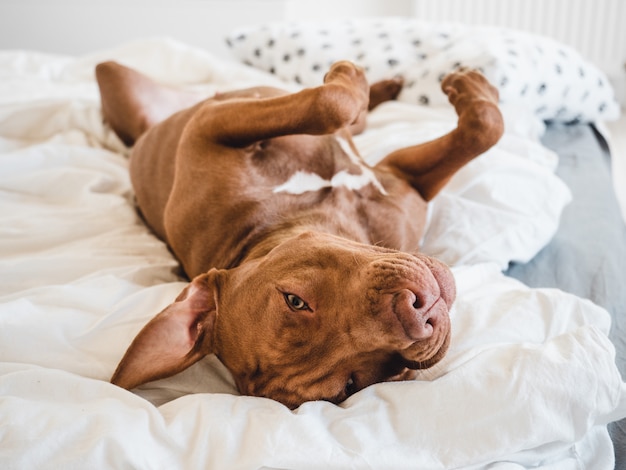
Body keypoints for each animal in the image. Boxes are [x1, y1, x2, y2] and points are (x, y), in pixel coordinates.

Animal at [96, 61, 502, 408]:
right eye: (353, 382)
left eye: (294, 299)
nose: (417, 312)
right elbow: (332, 103)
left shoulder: (208, 126)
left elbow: (483, 127)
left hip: (117, 74)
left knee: (350, 117)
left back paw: (383, 86)